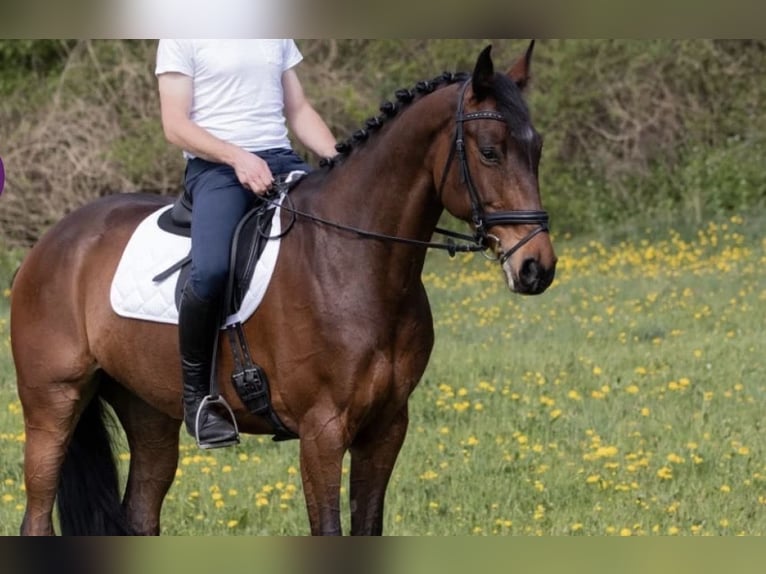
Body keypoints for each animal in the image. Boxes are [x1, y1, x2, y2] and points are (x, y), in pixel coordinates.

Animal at [10, 43, 556, 536]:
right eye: (490, 152)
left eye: (537, 150)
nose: (536, 267)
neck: (355, 261)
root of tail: (50, 244)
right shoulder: (322, 432)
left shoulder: (386, 428)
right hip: (52, 406)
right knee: (36, 517)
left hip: (148, 411)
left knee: (141, 514)